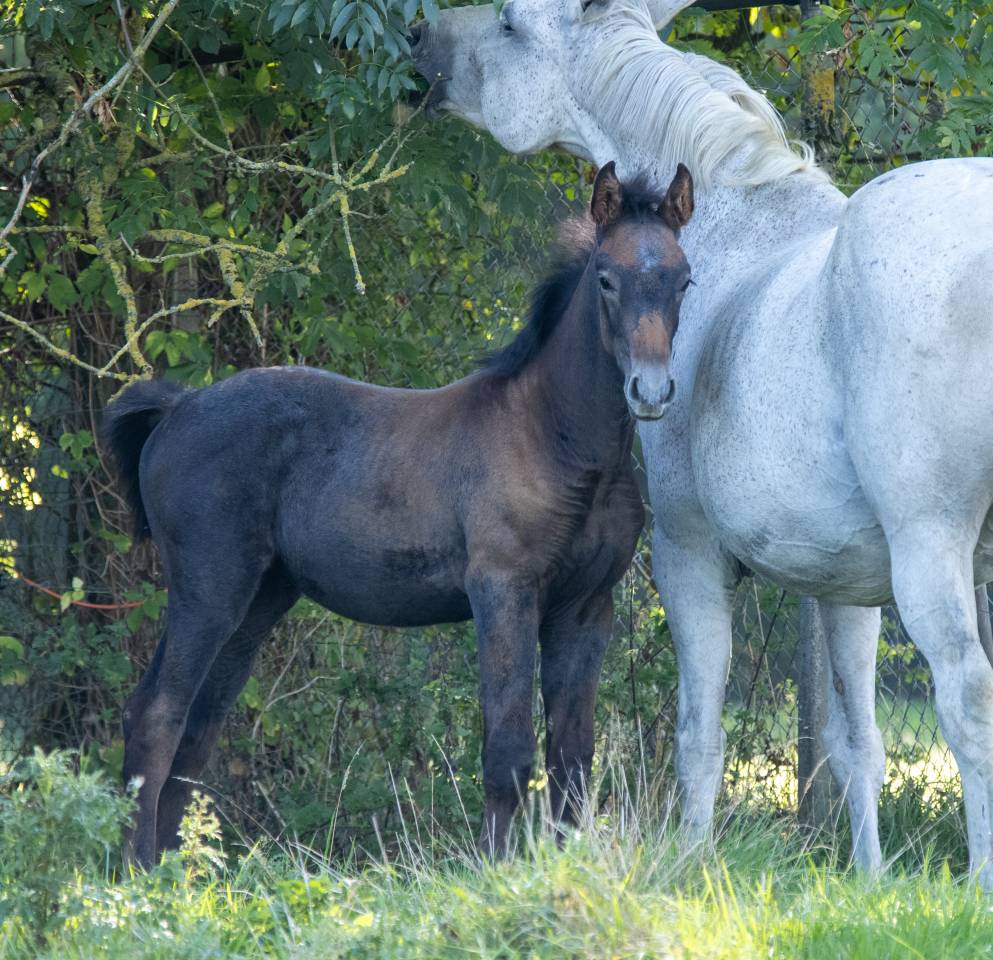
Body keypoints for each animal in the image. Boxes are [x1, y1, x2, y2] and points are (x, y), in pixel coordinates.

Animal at [103, 162, 695, 867]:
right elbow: (508, 751)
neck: (561, 441)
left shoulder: (585, 608)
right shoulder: (503, 589)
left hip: (259, 600)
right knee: (156, 714)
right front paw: (496, 872)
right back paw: (136, 872)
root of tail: (178, 407)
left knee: (198, 728)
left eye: (685, 279)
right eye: (606, 277)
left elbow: (573, 757)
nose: (651, 391)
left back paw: (173, 874)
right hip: (209, 588)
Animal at [411, 0, 993, 885]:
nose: (420, 42)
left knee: (967, 701)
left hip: (933, 550)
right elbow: (855, 741)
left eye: (510, 23)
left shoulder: (686, 554)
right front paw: (868, 879)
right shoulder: (848, 586)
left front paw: (688, 864)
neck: (736, 230)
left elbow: (699, 732)